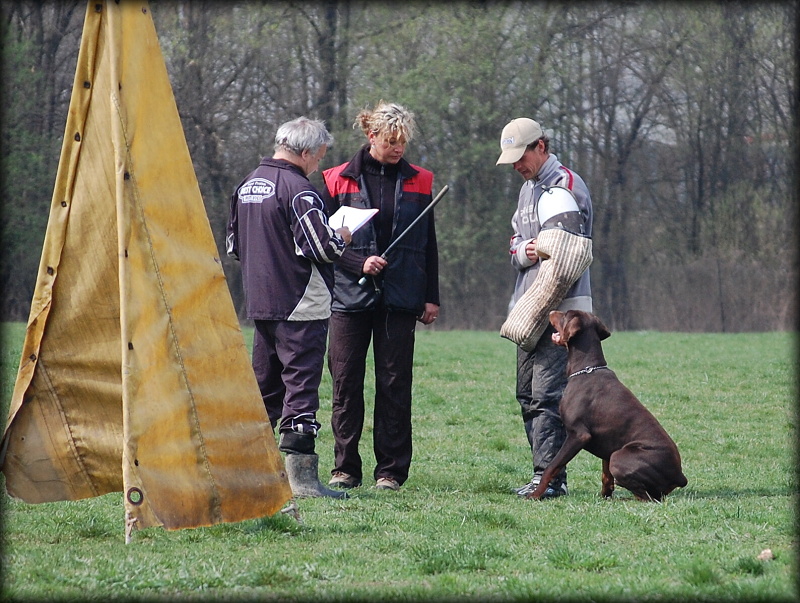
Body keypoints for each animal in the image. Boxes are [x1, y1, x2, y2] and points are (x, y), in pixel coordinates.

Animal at [524, 310, 688, 502]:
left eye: (566, 314)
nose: (551, 311)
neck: (586, 369)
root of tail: (680, 476)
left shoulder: (578, 435)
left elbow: (551, 467)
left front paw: (535, 494)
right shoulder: (607, 443)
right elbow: (606, 476)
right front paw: (605, 496)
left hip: (620, 457)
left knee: (648, 498)